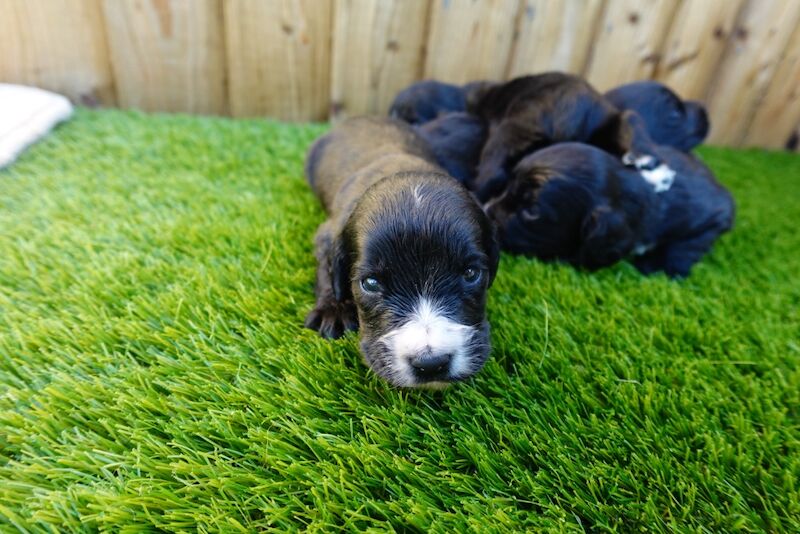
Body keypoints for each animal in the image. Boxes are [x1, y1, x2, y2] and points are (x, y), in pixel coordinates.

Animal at [306, 118, 500, 390]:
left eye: (471, 274)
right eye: (370, 283)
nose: (431, 364)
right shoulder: (327, 234)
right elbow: (326, 270)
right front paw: (333, 311)